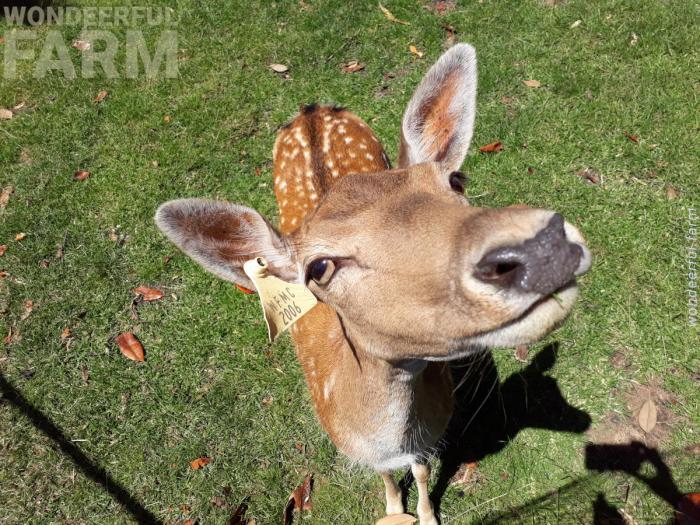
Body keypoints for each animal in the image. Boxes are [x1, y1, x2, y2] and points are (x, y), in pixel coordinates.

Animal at [155, 44, 591, 524]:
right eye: (318, 267)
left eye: (455, 179)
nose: (540, 245)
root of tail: (311, 109)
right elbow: (387, 476)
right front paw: (394, 508)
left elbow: (421, 469)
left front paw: (427, 515)